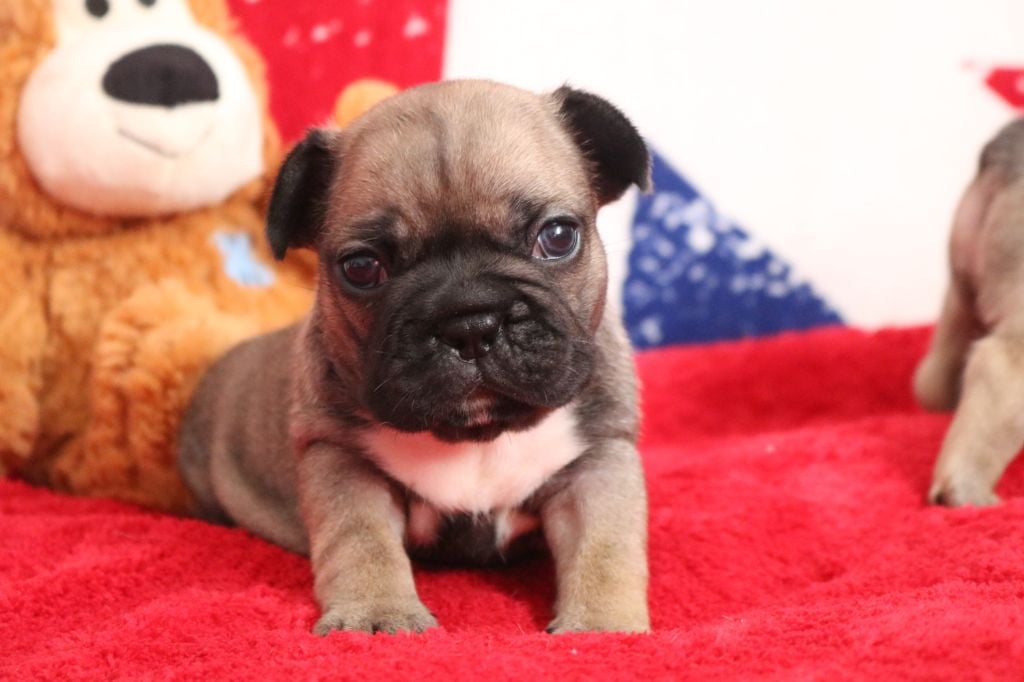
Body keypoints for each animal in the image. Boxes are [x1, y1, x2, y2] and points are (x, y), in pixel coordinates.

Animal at [178, 80, 652, 635]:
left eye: (557, 237)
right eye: (362, 267)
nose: (470, 322)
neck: (477, 433)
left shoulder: (599, 456)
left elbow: (604, 546)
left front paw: (602, 627)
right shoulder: (338, 456)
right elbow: (362, 541)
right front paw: (377, 613)